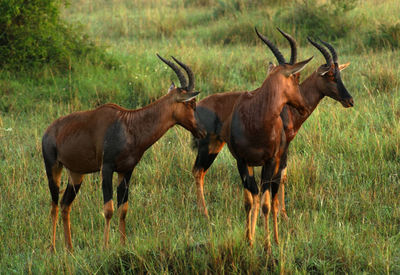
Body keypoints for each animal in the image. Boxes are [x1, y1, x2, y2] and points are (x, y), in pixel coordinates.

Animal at [43, 54, 206, 252]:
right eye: (192, 103)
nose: (203, 132)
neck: (128, 125)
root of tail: (49, 131)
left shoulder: (126, 171)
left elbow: (123, 209)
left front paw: (122, 245)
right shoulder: (106, 168)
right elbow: (108, 209)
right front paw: (105, 247)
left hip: (76, 174)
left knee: (65, 204)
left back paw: (70, 249)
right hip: (53, 168)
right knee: (53, 205)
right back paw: (52, 248)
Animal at [192, 30, 352, 250]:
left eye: (340, 74)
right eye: (329, 75)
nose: (349, 100)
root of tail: (198, 105)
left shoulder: (277, 153)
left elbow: (276, 181)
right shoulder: (278, 151)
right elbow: (275, 182)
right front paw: (279, 220)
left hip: (216, 146)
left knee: (200, 172)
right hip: (208, 147)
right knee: (198, 171)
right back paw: (205, 214)